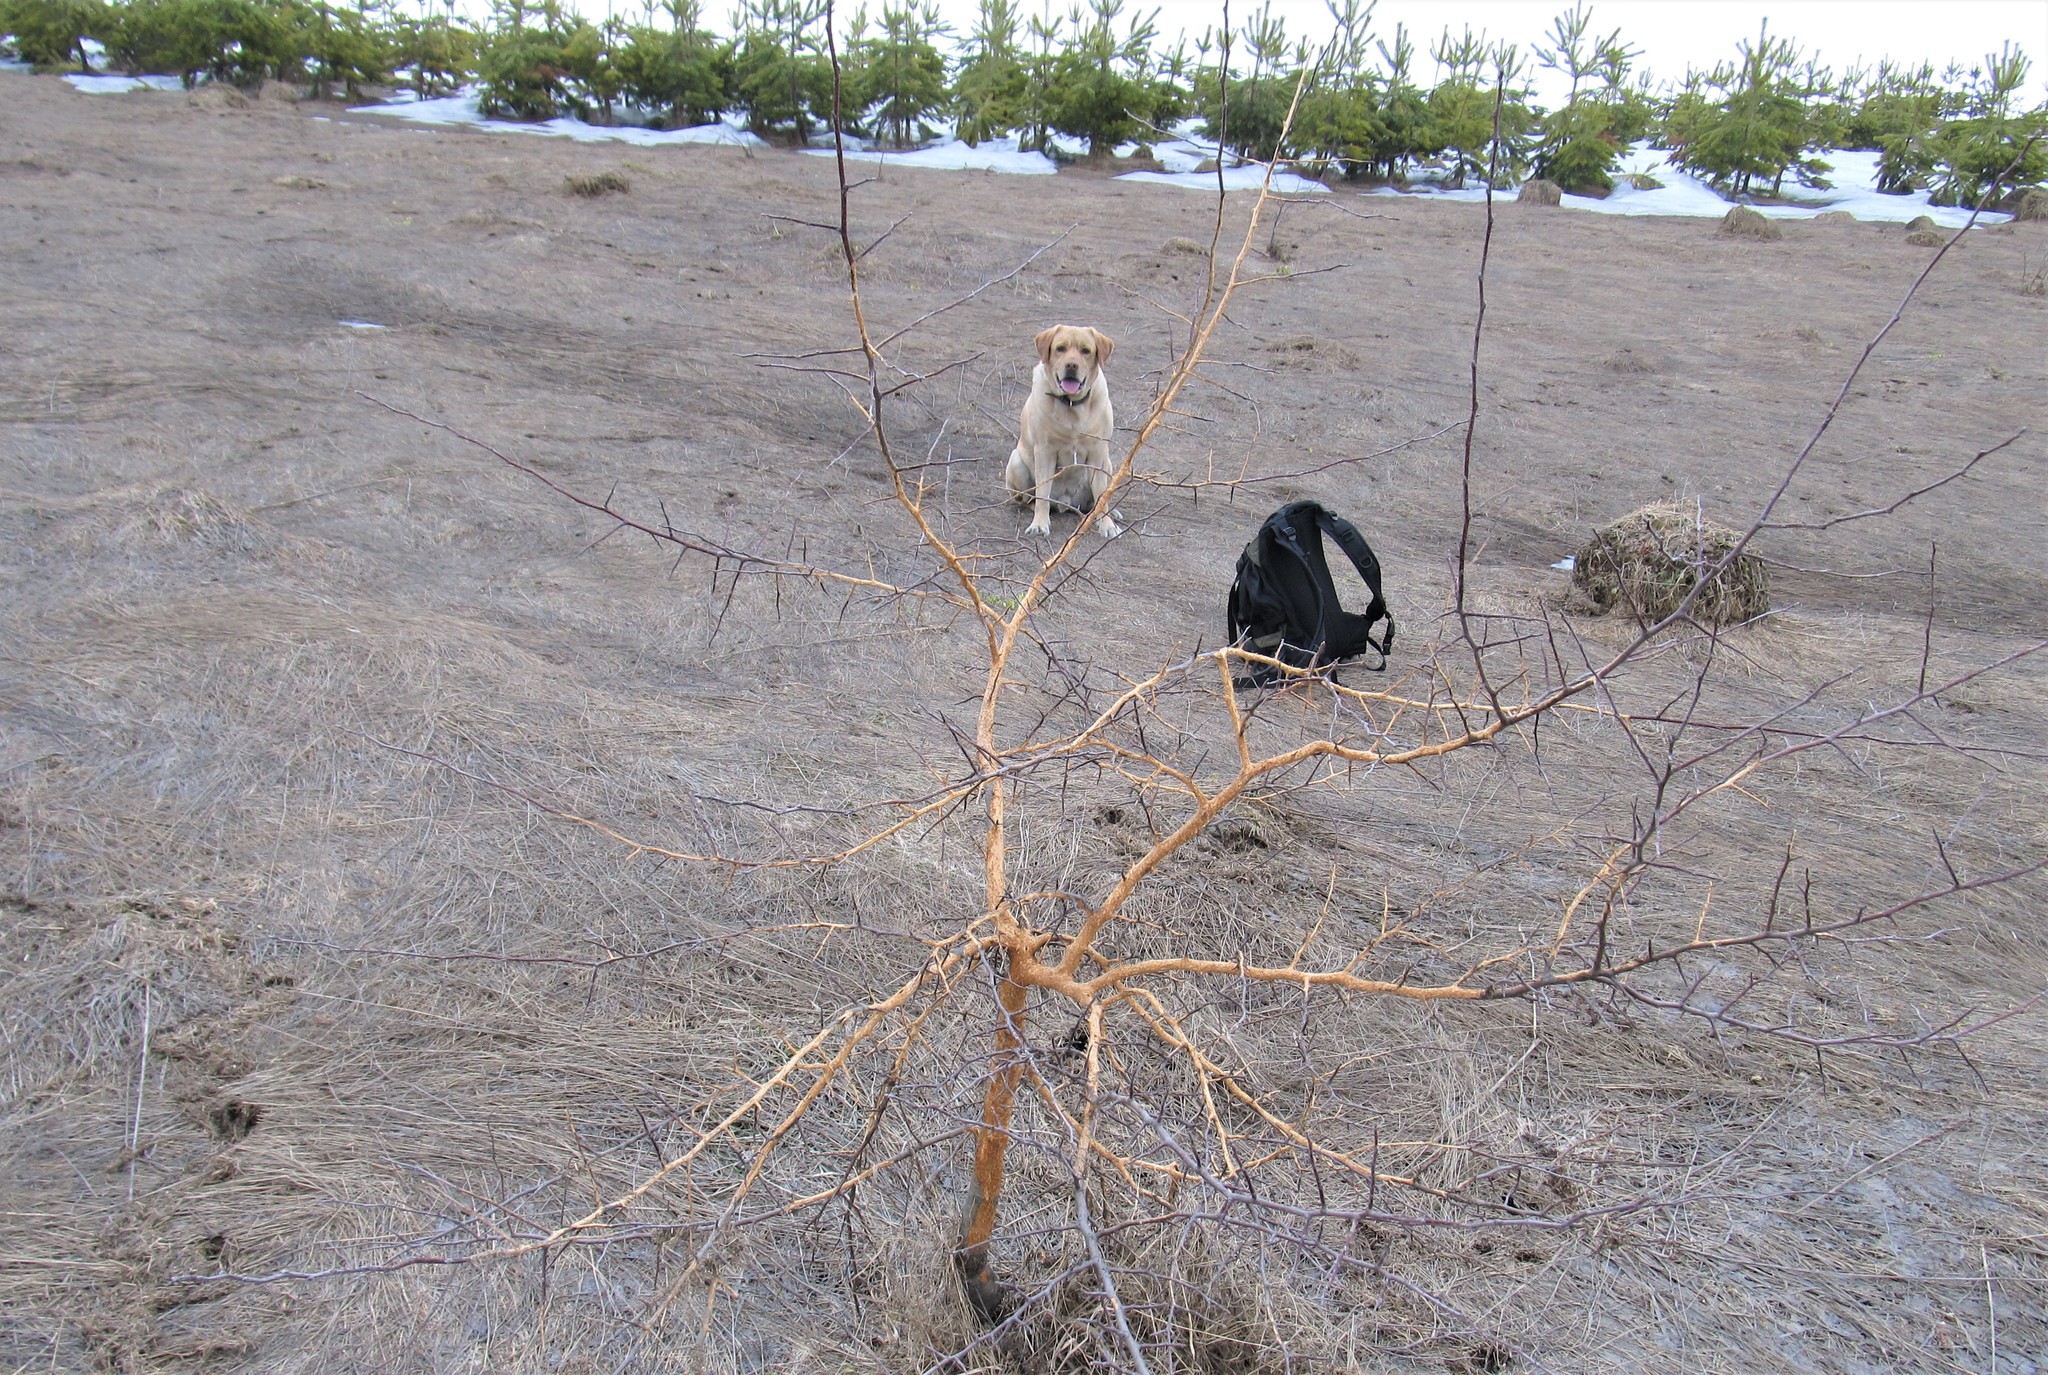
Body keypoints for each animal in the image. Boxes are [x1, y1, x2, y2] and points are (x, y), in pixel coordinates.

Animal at [1003, 325, 1122, 536]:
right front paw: (1040, 524)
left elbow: (1101, 495)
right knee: (1029, 500)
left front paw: (1107, 525)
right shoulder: (1045, 451)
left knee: (1095, 501)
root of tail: (1066, 504)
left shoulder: (1099, 452)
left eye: (1085, 351)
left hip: (1108, 465)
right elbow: (1043, 493)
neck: (1071, 404)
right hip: (1016, 462)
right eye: (1060, 348)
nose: (1072, 365)